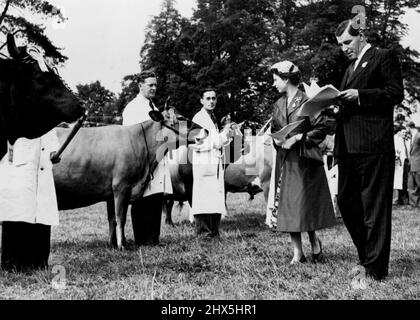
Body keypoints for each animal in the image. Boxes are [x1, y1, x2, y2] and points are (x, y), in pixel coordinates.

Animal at [54, 110, 205, 250]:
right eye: (180, 118)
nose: (207, 130)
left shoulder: (111, 194)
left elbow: (112, 220)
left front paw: (112, 244)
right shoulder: (121, 187)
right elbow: (121, 218)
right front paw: (122, 246)